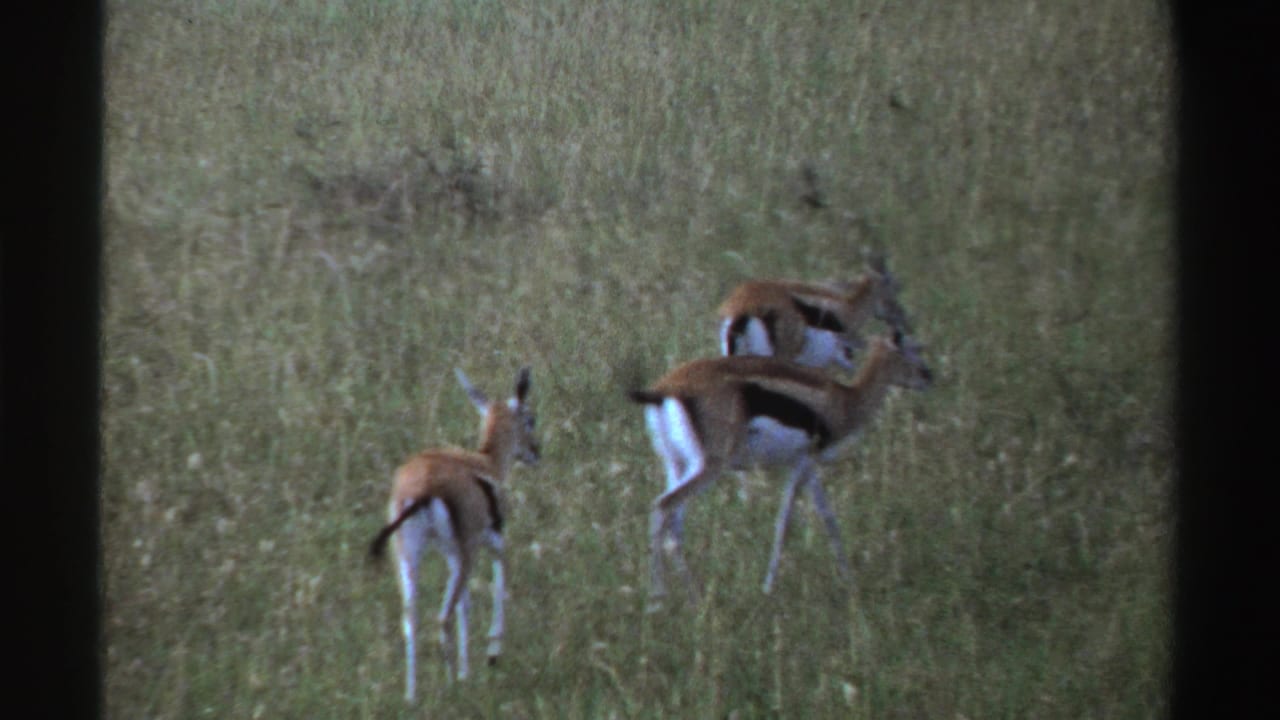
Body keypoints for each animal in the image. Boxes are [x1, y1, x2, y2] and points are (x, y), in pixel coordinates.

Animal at [369, 366, 539, 702]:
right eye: (530, 418)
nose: (535, 452)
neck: (485, 462)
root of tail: (422, 487)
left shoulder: (451, 553)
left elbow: (465, 605)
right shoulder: (488, 540)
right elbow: (497, 581)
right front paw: (490, 656)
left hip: (408, 556)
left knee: (411, 619)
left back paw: (412, 697)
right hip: (464, 554)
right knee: (442, 616)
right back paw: (453, 687)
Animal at [628, 330, 932, 607]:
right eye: (910, 349)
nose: (928, 376)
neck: (844, 400)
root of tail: (666, 389)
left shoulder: (808, 468)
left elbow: (828, 518)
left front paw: (848, 580)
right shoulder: (803, 463)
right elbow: (784, 522)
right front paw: (768, 587)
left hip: (677, 465)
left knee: (672, 523)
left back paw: (687, 598)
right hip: (709, 467)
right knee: (663, 506)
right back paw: (660, 600)